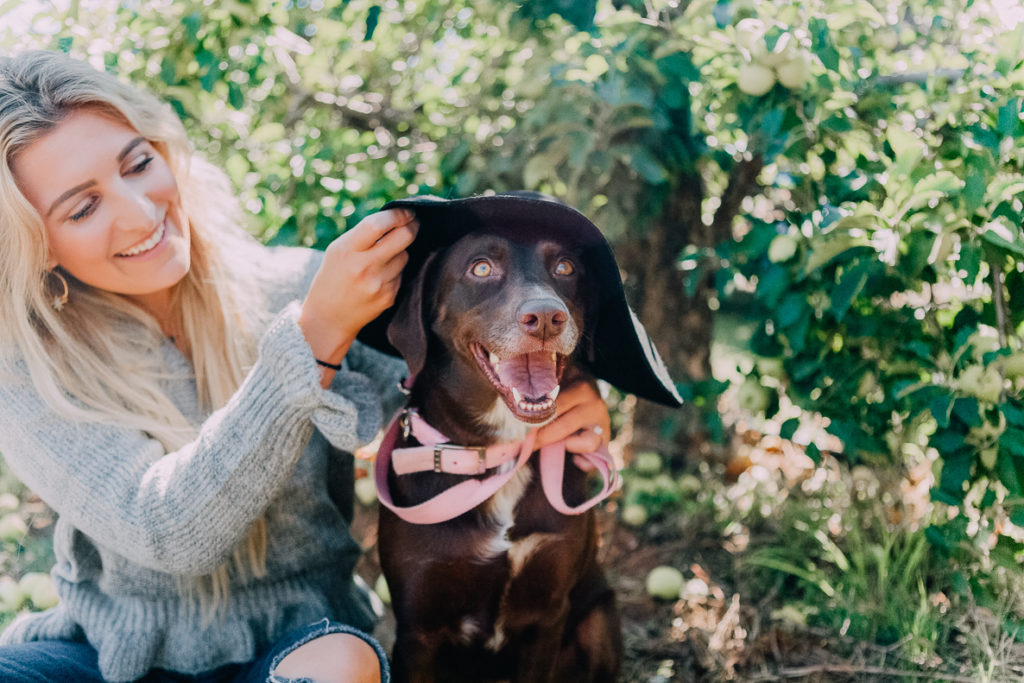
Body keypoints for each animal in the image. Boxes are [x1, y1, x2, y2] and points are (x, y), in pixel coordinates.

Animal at [374, 231, 618, 683]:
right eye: (481, 268)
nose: (546, 318)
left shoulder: (546, 617)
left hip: (598, 623)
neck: (498, 451)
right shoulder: (417, 632)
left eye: (565, 267)